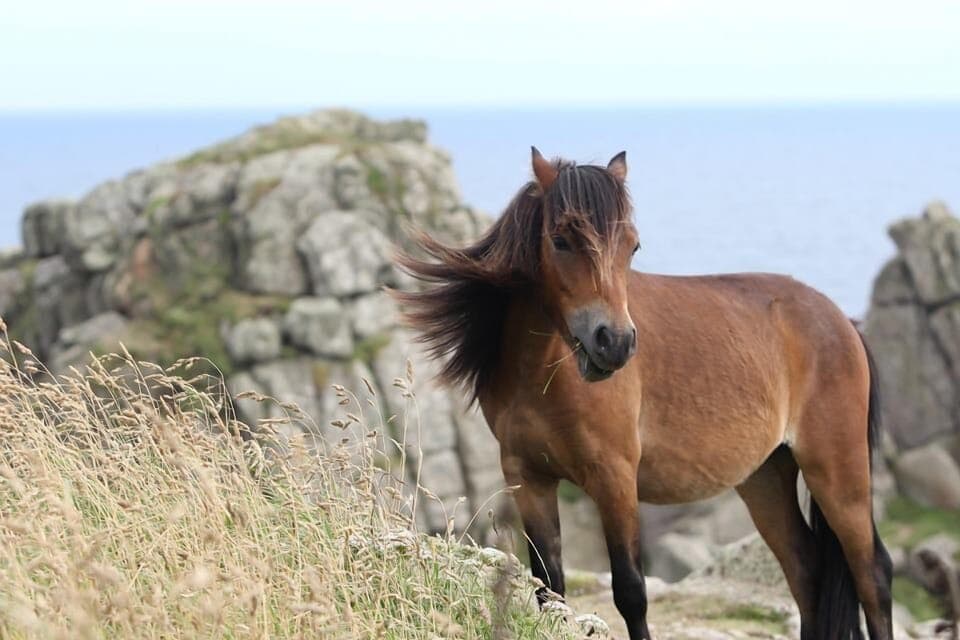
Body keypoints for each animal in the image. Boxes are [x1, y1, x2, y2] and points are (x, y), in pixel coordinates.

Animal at [394, 148, 893, 640]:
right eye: (560, 240)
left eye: (632, 246)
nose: (614, 343)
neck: (544, 375)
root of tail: (842, 321)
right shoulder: (529, 478)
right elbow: (549, 588)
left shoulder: (614, 478)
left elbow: (631, 592)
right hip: (766, 477)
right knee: (806, 572)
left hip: (837, 473)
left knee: (873, 574)